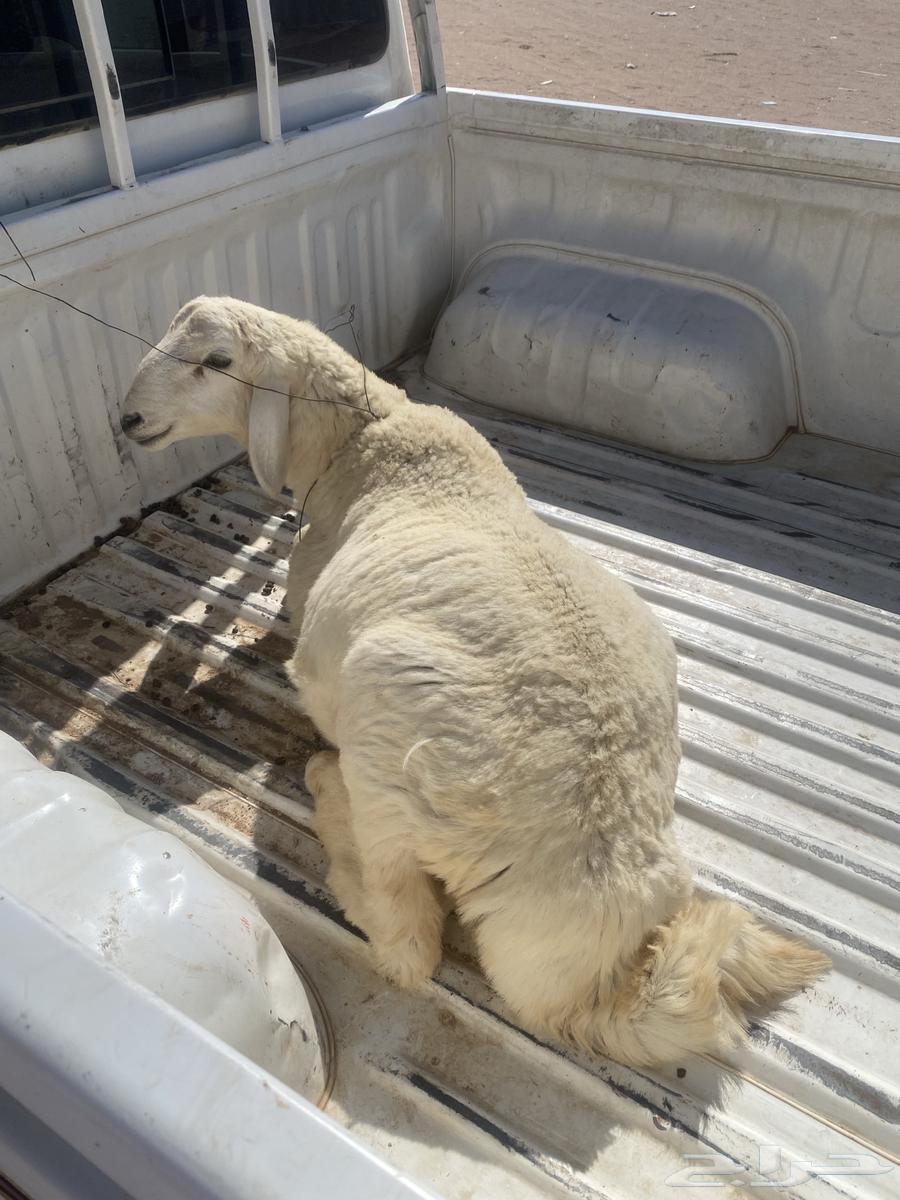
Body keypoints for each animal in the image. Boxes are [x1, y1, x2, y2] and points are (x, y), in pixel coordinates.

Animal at [121, 296, 829, 1068]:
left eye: (217, 361)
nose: (127, 419)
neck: (359, 445)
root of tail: (596, 965)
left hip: (388, 738)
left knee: (407, 941)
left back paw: (328, 795)